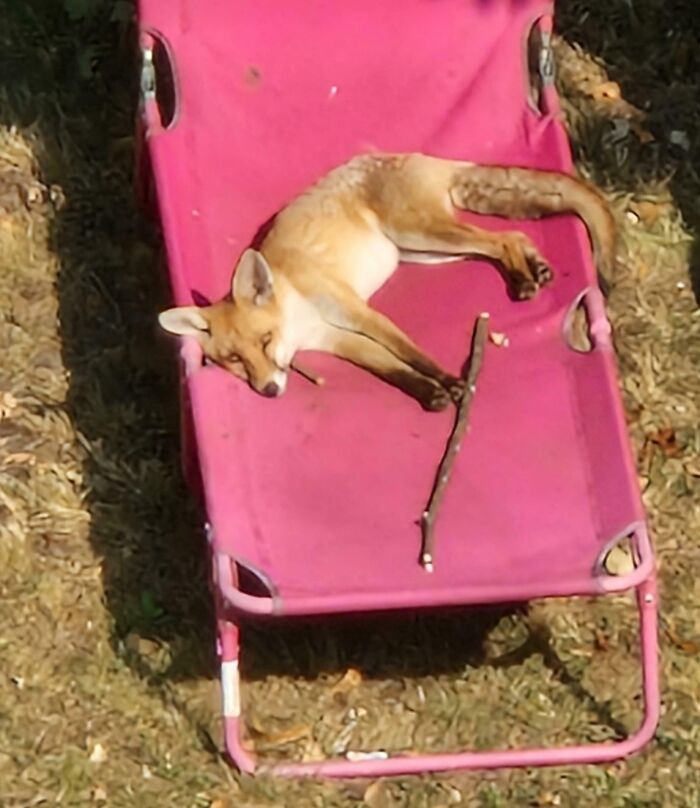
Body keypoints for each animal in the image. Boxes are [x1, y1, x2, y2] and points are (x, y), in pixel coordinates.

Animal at [159, 152, 616, 411]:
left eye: (265, 341)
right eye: (234, 360)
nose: (269, 390)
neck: (296, 310)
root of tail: (414, 153)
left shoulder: (356, 312)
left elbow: (409, 351)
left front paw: (451, 381)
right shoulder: (336, 339)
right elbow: (390, 368)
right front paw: (429, 393)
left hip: (422, 234)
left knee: (501, 238)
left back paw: (524, 279)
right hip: (426, 250)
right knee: (512, 236)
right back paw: (532, 269)